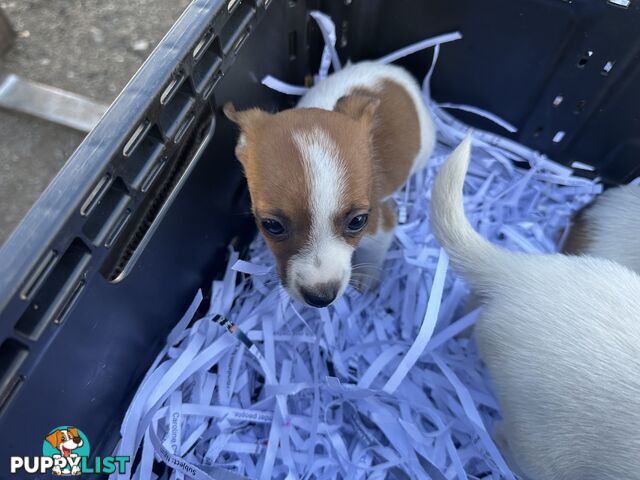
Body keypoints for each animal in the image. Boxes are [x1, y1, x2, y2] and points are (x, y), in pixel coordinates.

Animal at [225, 61, 436, 308]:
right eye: (271, 225)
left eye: (358, 221)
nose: (321, 298)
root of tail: (395, 70)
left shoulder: (381, 222)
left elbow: (373, 254)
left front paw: (366, 280)